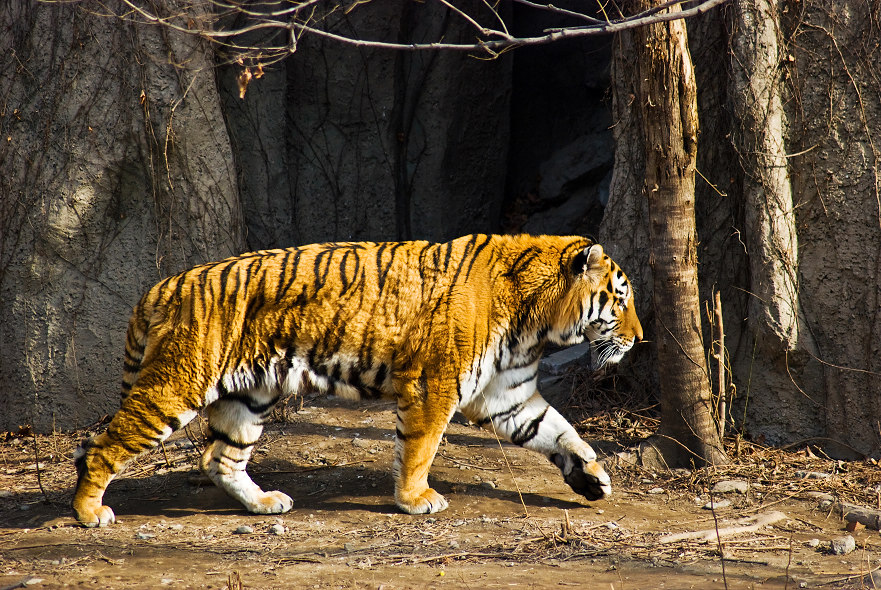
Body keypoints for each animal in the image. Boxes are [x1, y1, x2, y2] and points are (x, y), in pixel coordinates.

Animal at [72, 234, 640, 528]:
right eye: (620, 299)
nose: (639, 338)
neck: (536, 326)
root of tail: (161, 285)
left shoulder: (510, 397)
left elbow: (561, 431)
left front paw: (593, 476)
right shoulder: (434, 387)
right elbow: (420, 449)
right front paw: (416, 500)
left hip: (250, 395)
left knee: (218, 457)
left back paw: (264, 503)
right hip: (175, 388)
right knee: (102, 446)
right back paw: (89, 512)